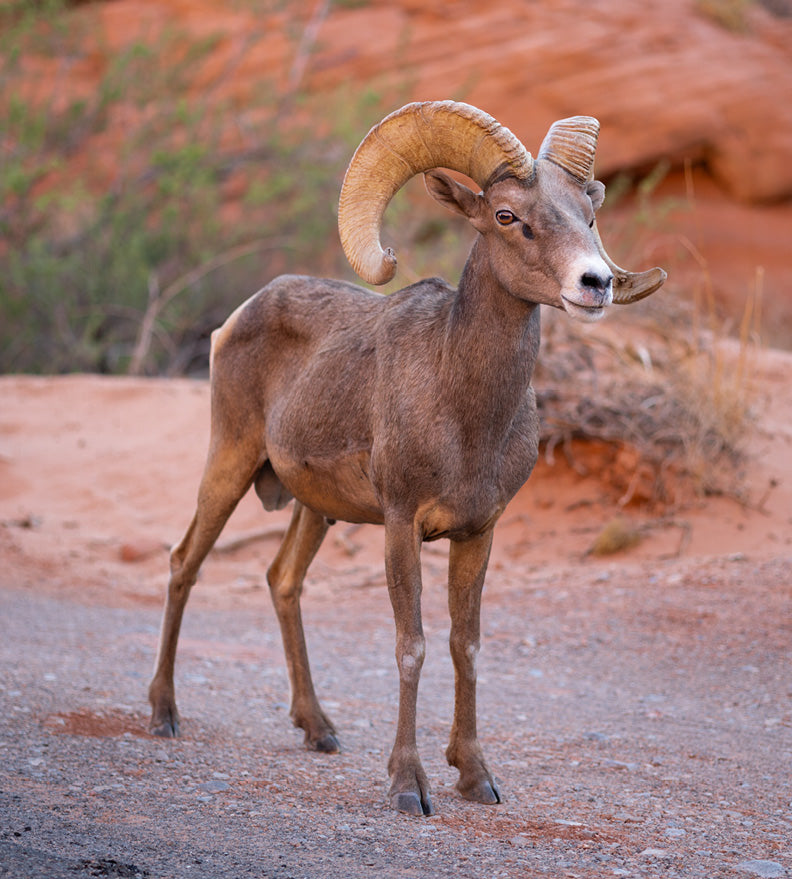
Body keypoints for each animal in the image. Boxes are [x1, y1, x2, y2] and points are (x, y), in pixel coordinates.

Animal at [147, 101, 664, 820]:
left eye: (588, 212)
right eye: (507, 215)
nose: (596, 284)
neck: (464, 413)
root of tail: (239, 316)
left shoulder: (479, 532)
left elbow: (464, 645)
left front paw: (475, 776)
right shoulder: (401, 525)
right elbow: (412, 646)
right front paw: (408, 786)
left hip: (314, 510)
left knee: (282, 581)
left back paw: (319, 728)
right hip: (228, 463)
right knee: (183, 564)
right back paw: (164, 714)